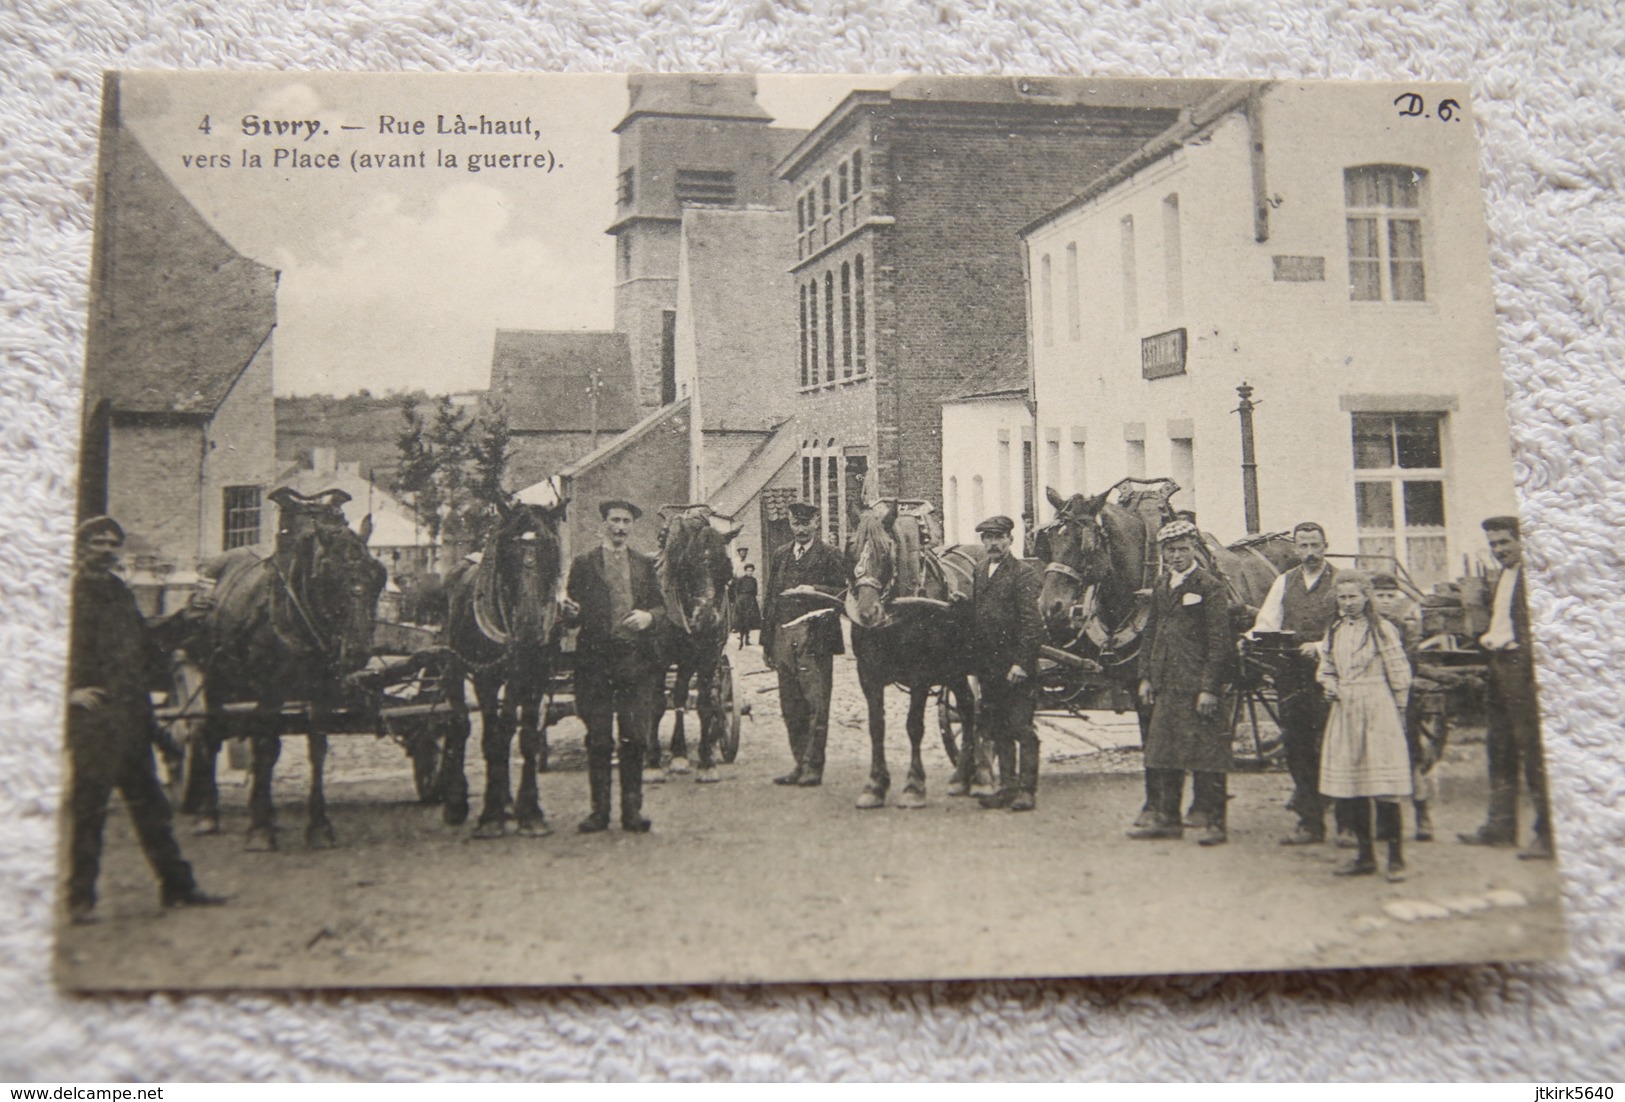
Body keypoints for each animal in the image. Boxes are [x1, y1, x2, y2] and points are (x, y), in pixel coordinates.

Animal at [182, 487, 388, 851]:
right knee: (211, 733)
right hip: (214, 679)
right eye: (331, 577)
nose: (358, 651)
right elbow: (266, 746)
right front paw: (260, 830)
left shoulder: (322, 695)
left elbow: (316, 749)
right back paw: (209, 813)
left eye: (379, 576)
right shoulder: (270, 692)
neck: (296, 612)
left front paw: (318, 825)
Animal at [435, 497, 568, 838]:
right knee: (460, 723)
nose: (529, 635)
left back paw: (507, 802)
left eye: (550, 545)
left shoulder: (535, 676)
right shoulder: (487, 677)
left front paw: (529, 813)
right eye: (507, 547)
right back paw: (456, 802)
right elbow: (492, 737)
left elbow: (524, 736)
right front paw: (490, 816)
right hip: (453, 668)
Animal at [653, 507, 744, 786]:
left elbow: (705, 702)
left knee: (685, 692)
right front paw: (667, 756)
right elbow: (658, 702)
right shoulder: (661, 657)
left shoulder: (708, 656)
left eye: (726, 569)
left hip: (689, 660)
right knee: (673, 696)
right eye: (685, 566)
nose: (705, 618)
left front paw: (706, 762)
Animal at [845, 500, 981, 812]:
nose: (867, 613)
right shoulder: (868, 674)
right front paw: (875, 785)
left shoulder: (920, 674)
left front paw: (913, 787)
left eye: (885, 550)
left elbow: (914, 726)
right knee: (968, 708)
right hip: (957, 669)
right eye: (850, 548)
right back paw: (964, 776)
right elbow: (876, 726)